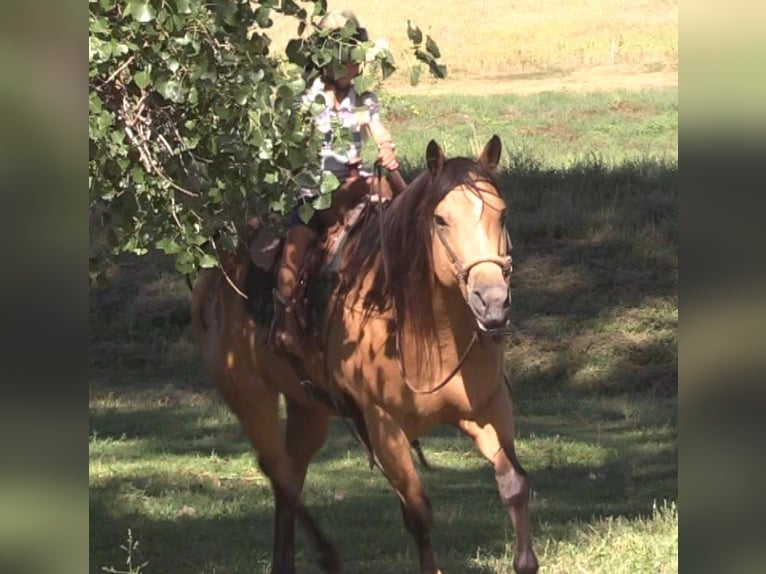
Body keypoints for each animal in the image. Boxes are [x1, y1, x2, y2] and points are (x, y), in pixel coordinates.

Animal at [192, 136, 540, 574]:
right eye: (441, 220)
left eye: (502, 213)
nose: (492, 302)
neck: (425, 331)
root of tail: (215, 270)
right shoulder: (383, 425)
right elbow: (418, 511)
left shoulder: (488, 409)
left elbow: (514, 483)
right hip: (249, 397)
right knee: (278, 472)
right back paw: (327, 554)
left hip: (309, 407)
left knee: (292, 471)